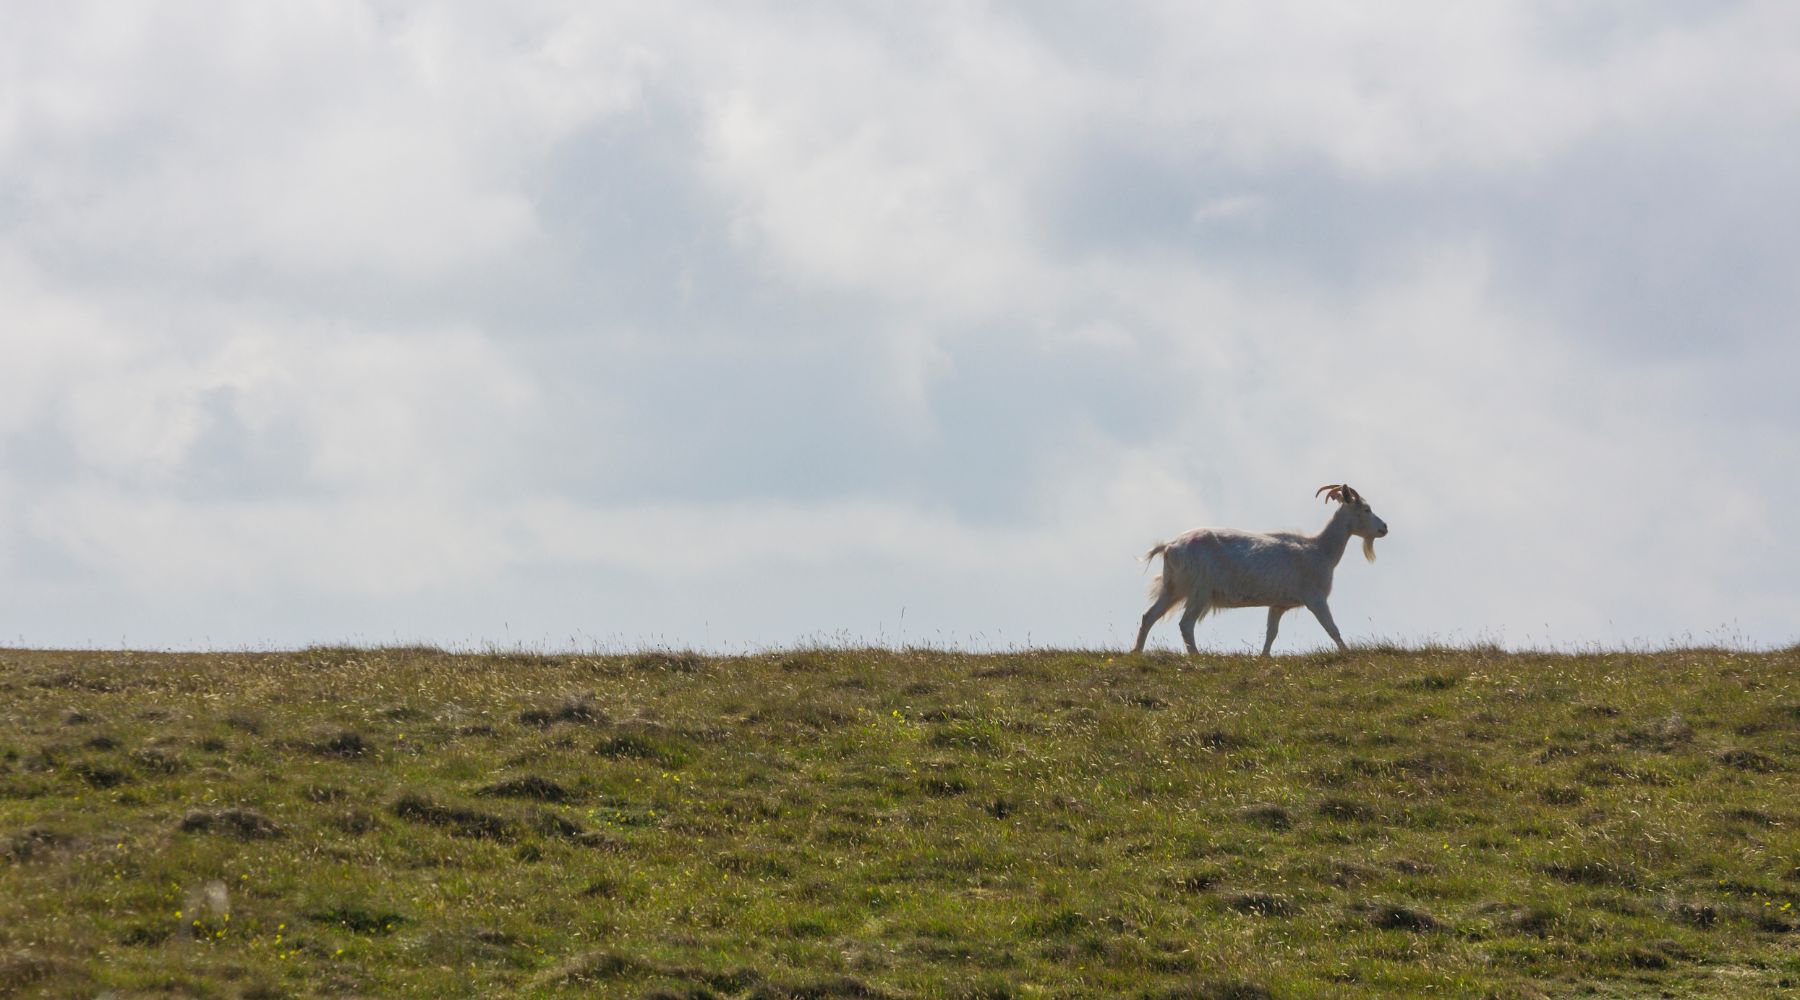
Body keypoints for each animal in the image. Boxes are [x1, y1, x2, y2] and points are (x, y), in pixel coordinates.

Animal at [1123, 485, 1389, 654]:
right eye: (1366, 509)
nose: (1384, 527)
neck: (1320, 549)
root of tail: (1170, 546)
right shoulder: (1315, 598)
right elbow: (1332, 628)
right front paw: (1347, 653)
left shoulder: (1278, 604)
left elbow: (1271, 633)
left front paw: (1264, 657)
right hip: (1199, 591)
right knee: (1186, 624)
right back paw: (1196, 656)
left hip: (1173, 588)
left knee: (1149, 616)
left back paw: (1137, 652)